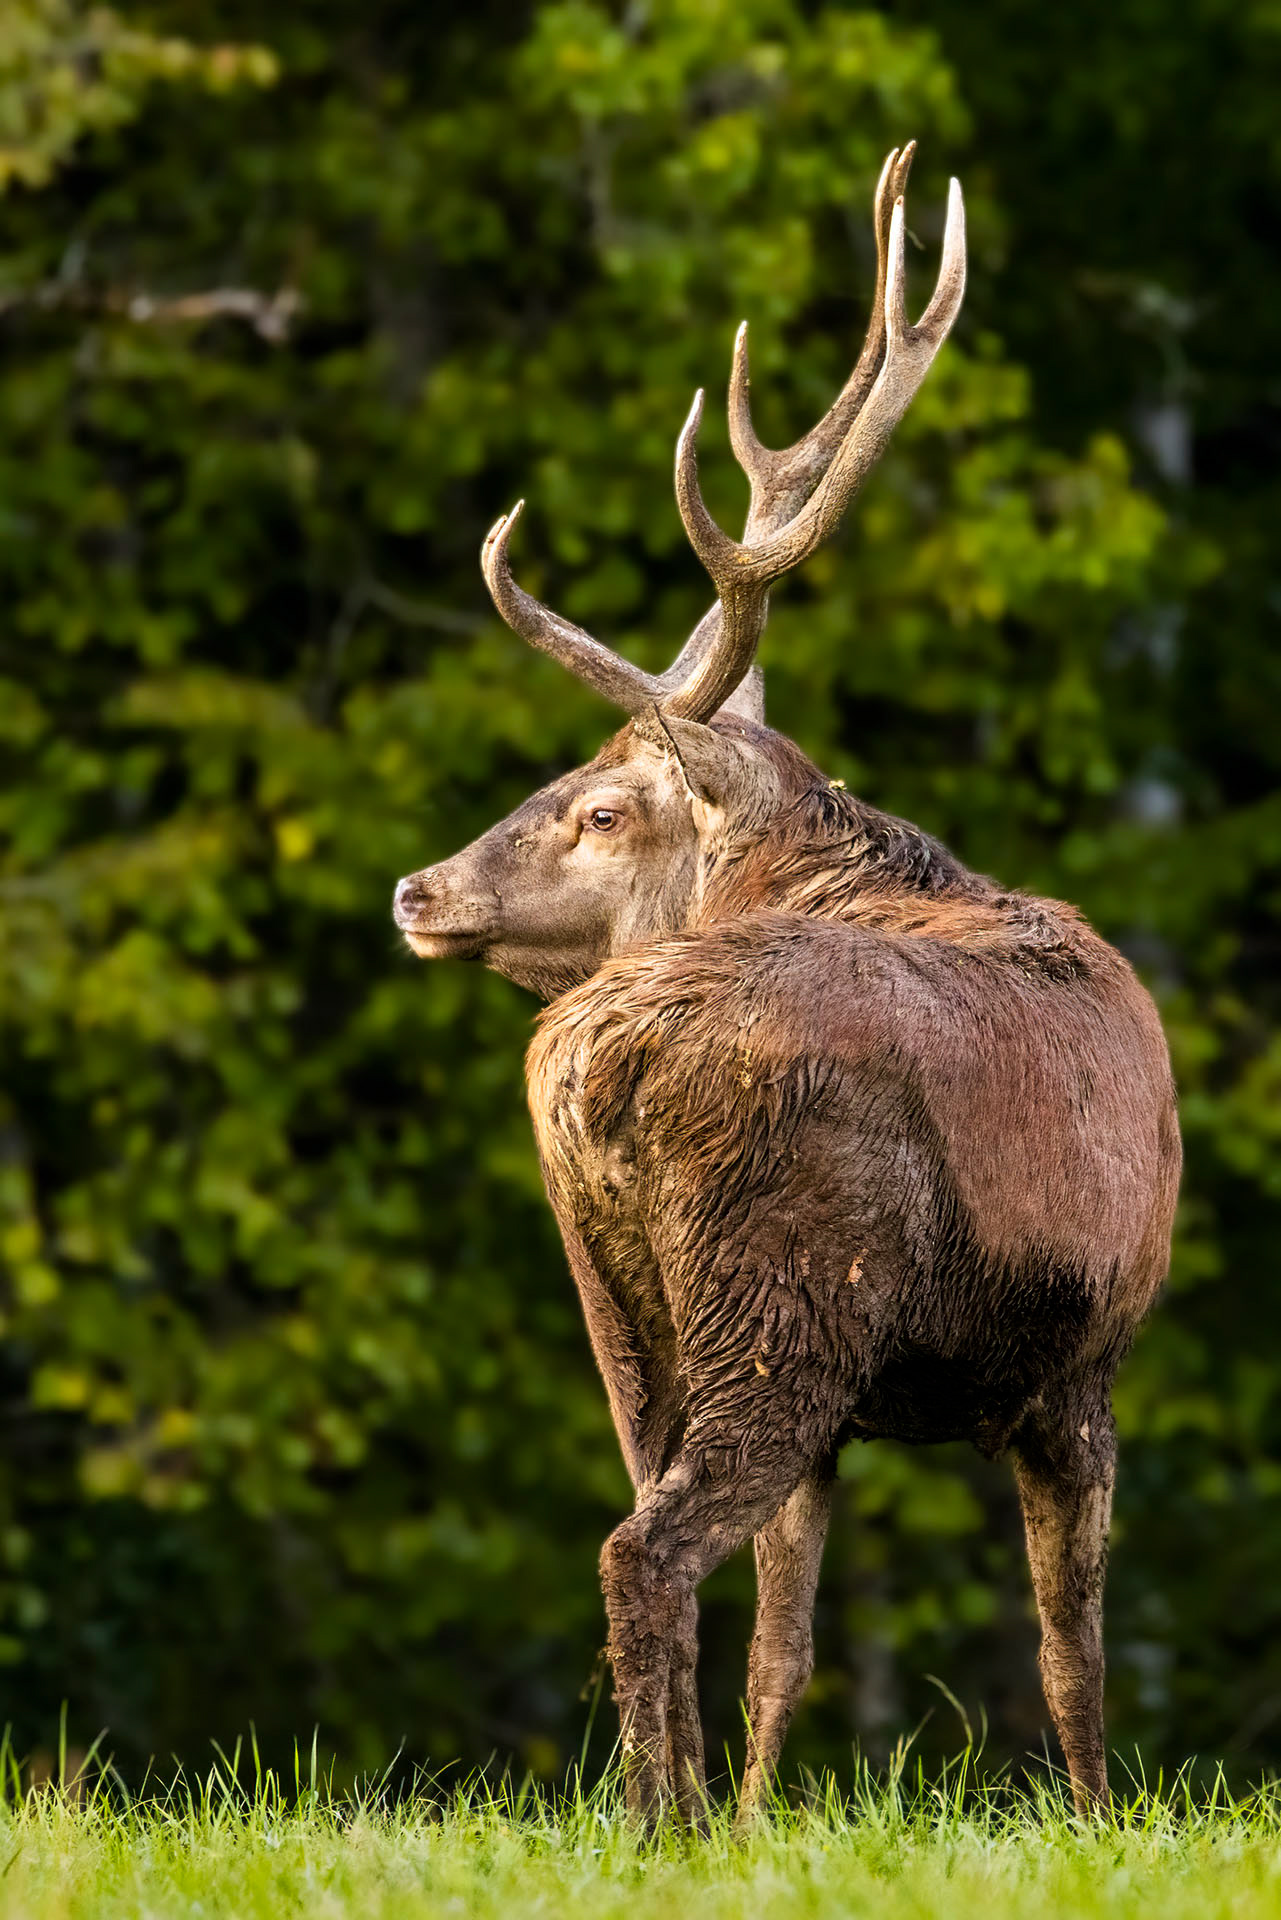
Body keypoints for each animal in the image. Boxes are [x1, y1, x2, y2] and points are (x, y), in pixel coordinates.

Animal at [392, 145, 1181, 1828]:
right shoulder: (1084, 1353)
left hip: (632, 1304)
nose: (417, 890)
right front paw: (1097, 1821)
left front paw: (766, 1818)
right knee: (645, 1545)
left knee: (660, 1536)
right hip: (789, 1293)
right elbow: (1072, 1648)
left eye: (598, 808)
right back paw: (659, 1817)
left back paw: (680, 1816)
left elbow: (789, 1644)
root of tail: (602, 1061)